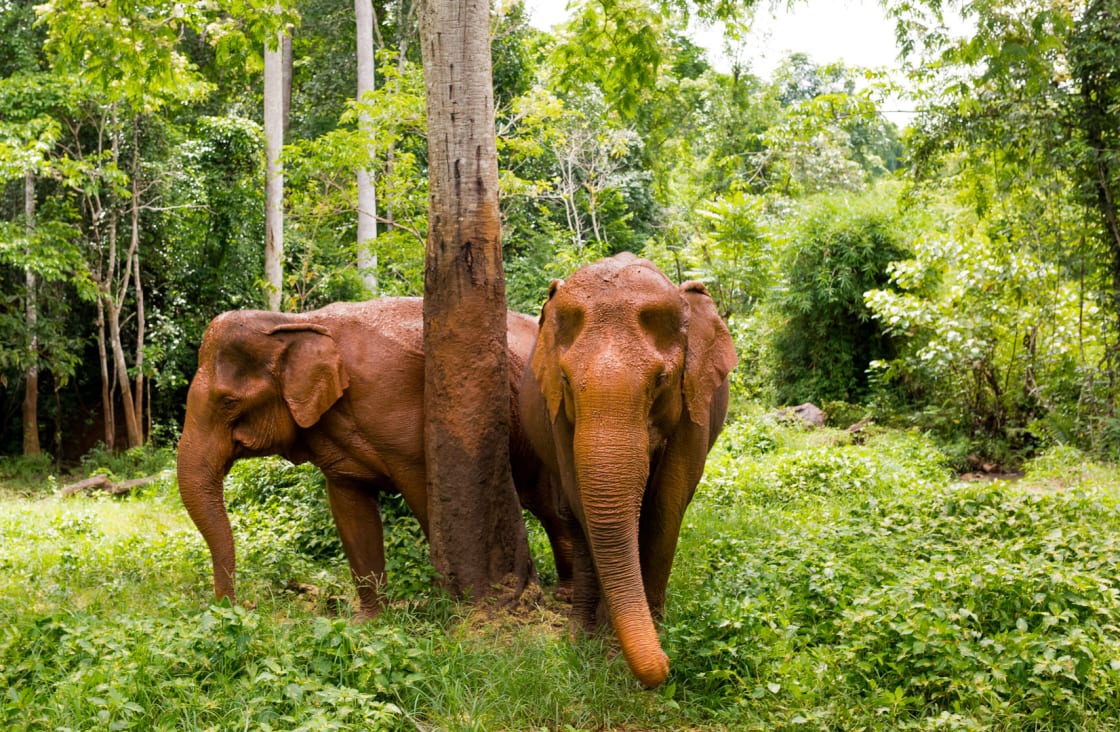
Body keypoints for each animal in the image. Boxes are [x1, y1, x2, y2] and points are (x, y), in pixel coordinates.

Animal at [180, 297, 577, 617]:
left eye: (228, 402)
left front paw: (447, 607)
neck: (297, 321)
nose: (245, 605)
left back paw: (566, 596)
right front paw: (371, 621)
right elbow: (350, 511)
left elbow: (425, 498)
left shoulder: (398, 405)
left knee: (551, 507)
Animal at [517, 252, 743, 689]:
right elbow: (582, 502)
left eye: (662, 380)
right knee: (571, 518)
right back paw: (579, 633)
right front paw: (599, 647)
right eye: (566, 380)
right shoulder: (558, 417)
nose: (667, 664)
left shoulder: (695, 402)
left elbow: (667, 504)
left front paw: (645, 636)